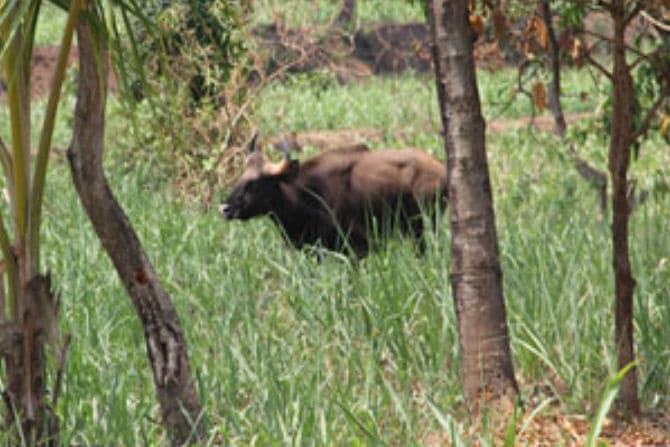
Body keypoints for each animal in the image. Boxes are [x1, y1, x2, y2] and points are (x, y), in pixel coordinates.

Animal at [223, 136, 448, 256]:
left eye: (256, 183)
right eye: (241, 176)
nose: (225, 208)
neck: (305, 198)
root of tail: (442, 167)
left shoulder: (360, 248)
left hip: (421, 228)